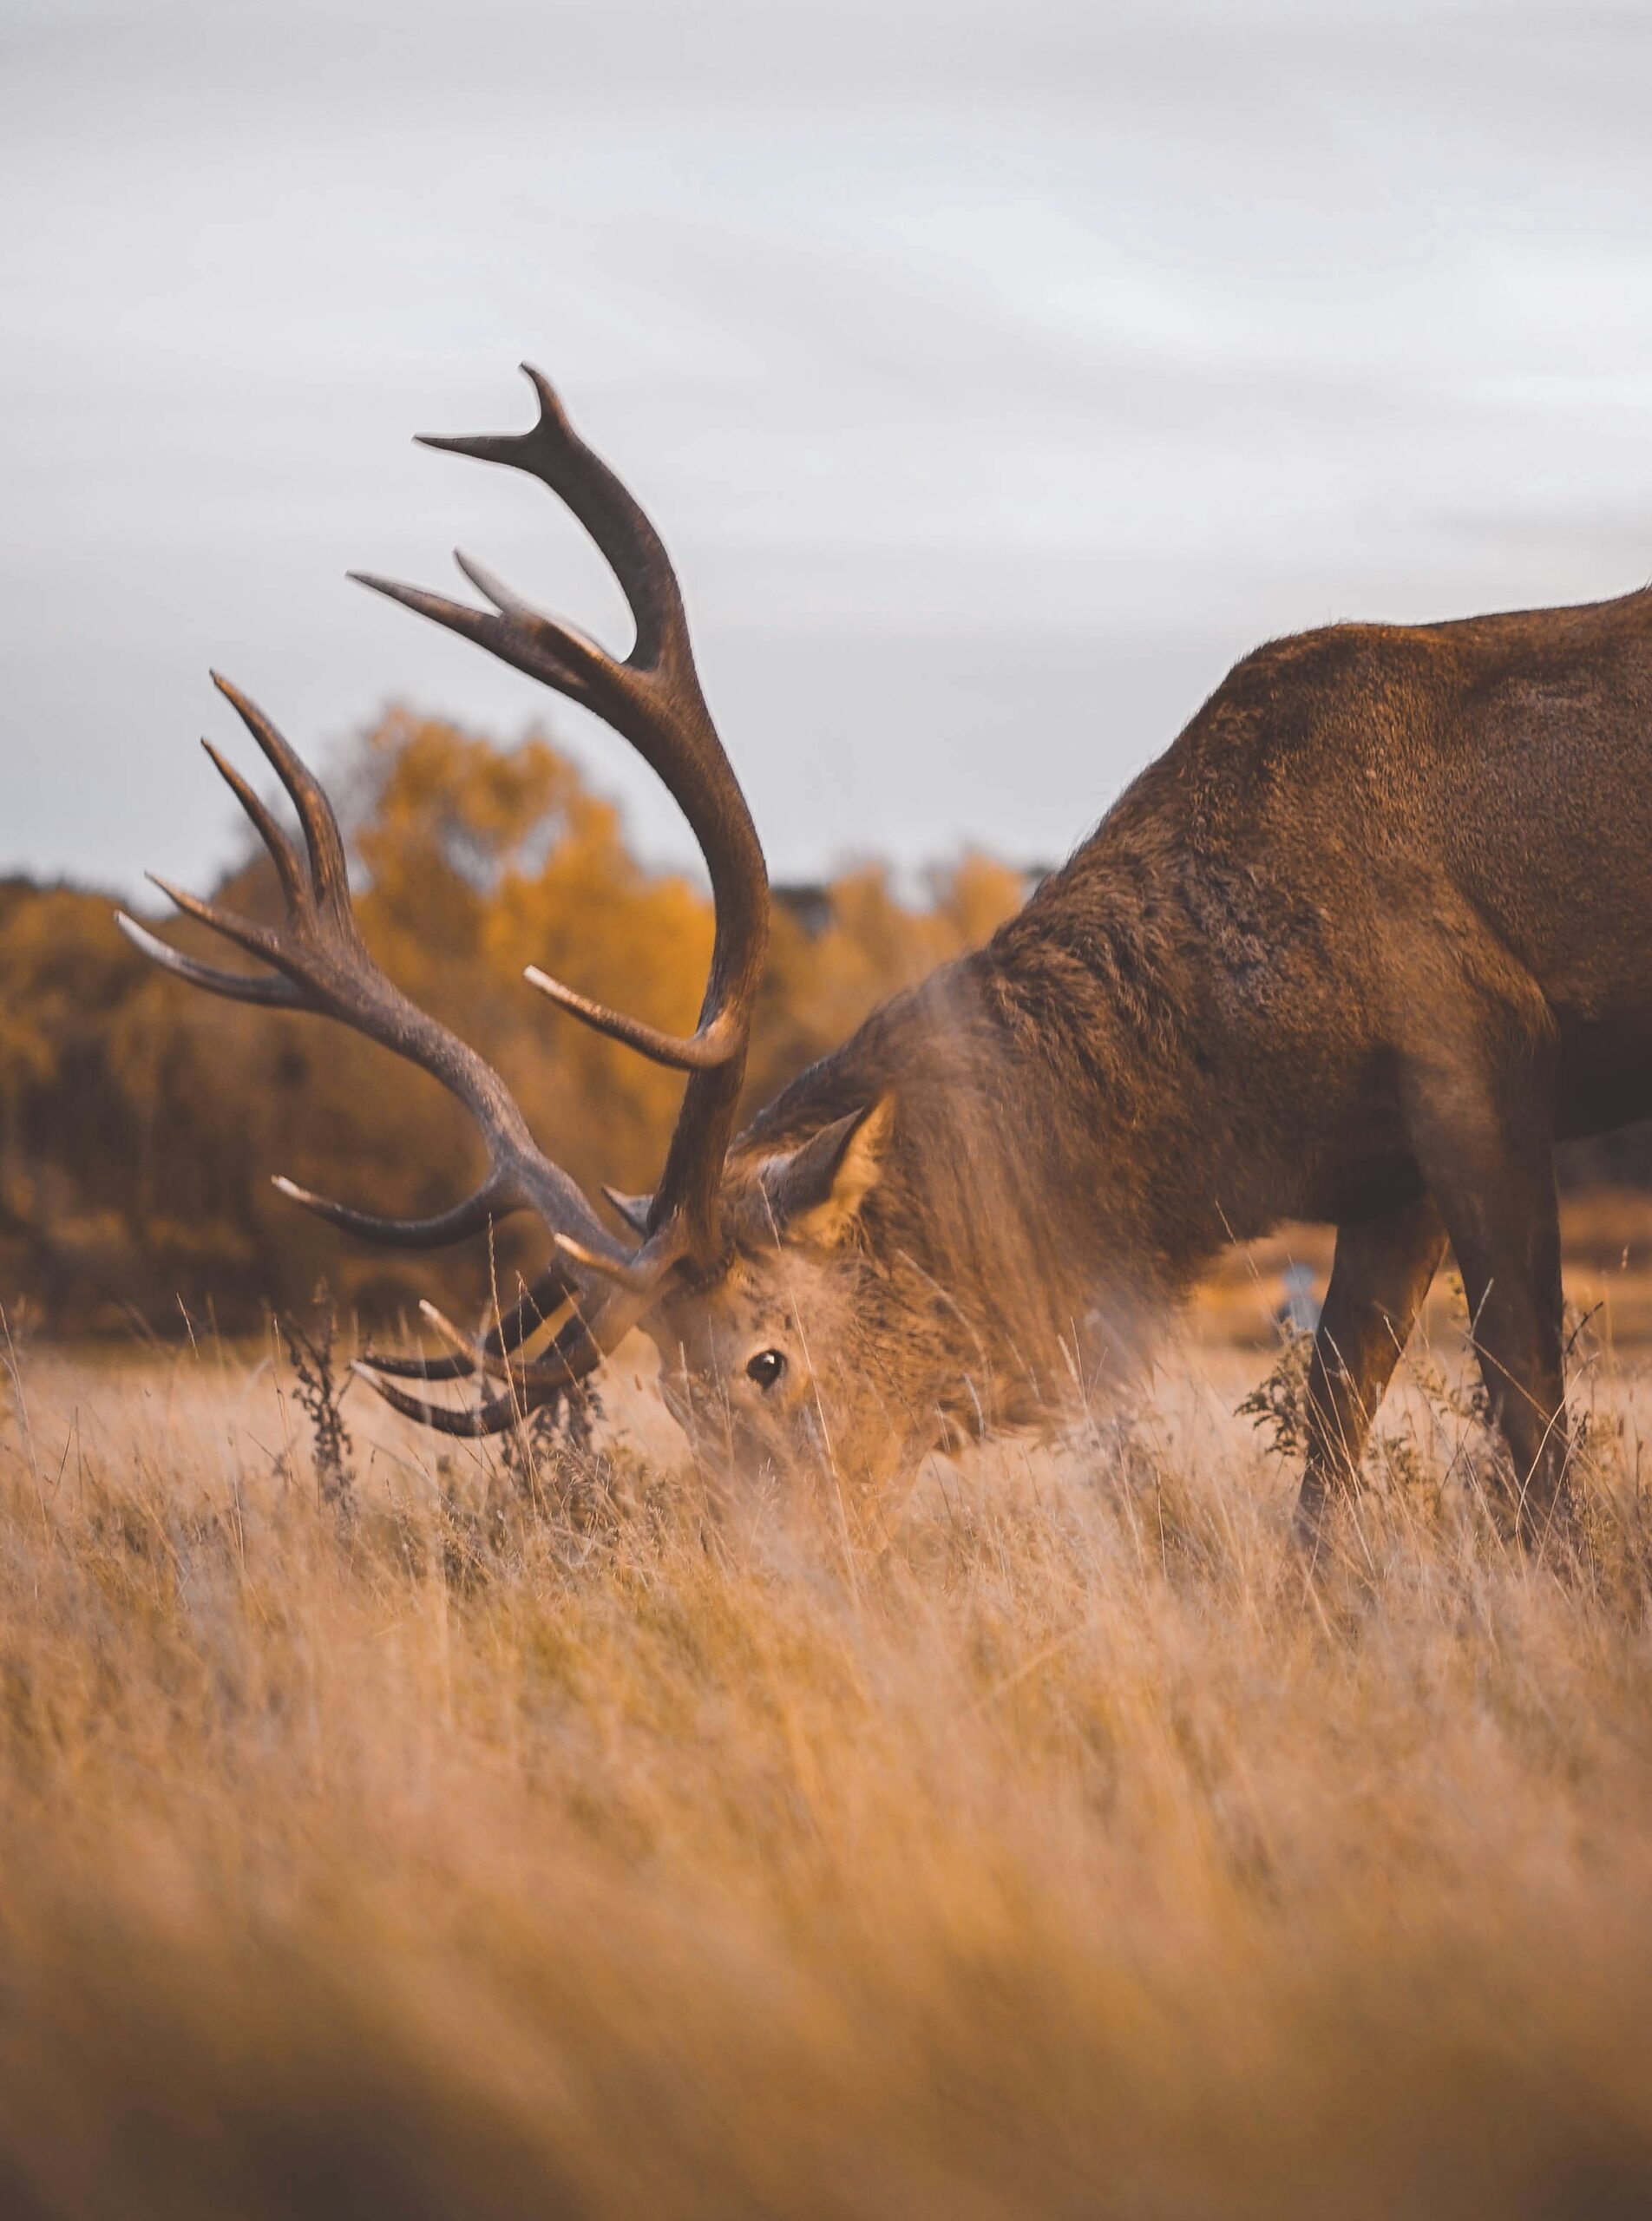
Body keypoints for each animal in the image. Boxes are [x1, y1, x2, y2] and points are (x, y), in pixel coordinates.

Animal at [121, 364, 1652, 1547]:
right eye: (667, 1396)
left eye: (768, 1359)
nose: (781, 1575)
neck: (1241, 1079)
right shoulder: (1381, 1171)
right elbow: (1329, 1458)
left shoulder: (1477, 1069)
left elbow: (1529, 1433)